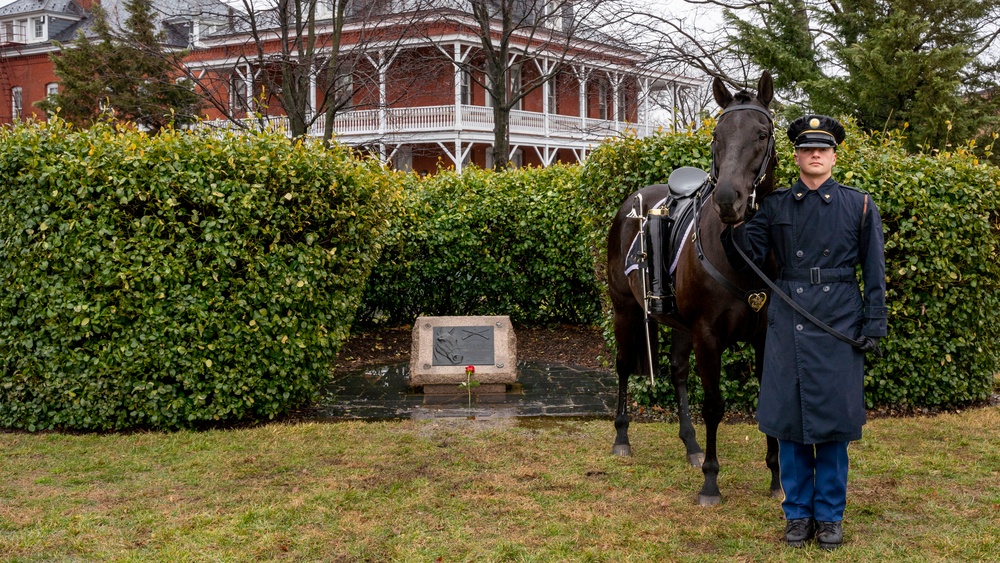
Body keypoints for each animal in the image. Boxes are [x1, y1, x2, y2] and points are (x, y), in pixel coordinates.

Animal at [608, 71, 780, 506]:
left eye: (762, 133)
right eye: (717, 135)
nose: (728, 200)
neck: (740, 251)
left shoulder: (764, 335)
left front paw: (777, 479)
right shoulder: (708, 335)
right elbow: (714, 406)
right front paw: (711, 483)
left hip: (681, 328)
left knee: (678, 373)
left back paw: (691, 445)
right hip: (625, 310)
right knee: (623, 366)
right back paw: (621, 438)